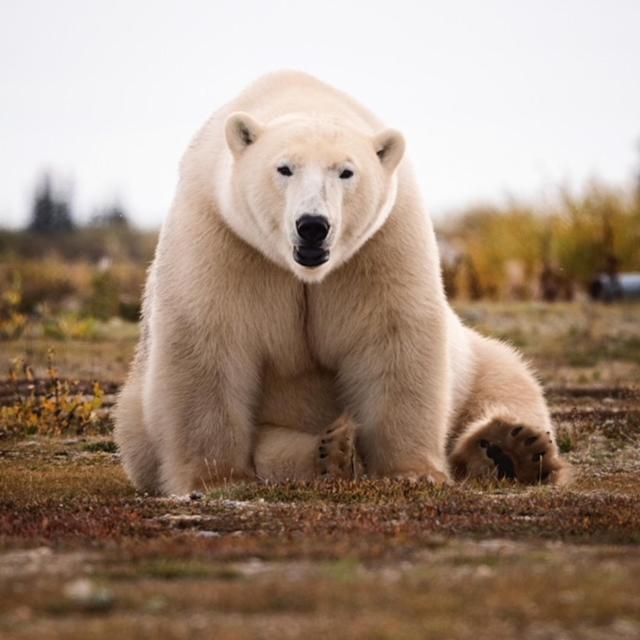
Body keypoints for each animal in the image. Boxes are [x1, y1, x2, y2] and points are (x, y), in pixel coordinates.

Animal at [114, 74, 564, 496]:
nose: (313, 225)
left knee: (512, 381)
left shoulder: (381, 243)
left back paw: (512, 448)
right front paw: (216, 478)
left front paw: (412, 473)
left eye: (346, 172)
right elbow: (210, 339)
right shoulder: (224, 236)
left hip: (475, 363)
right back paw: (330, 453)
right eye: (284, 168)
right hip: (137, 416)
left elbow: (392, 335)